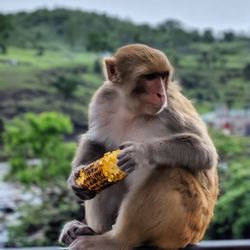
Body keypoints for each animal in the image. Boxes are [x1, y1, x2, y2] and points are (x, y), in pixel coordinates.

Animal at [59, 44, 219, 249]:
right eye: (150, 77)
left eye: (163, 76)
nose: (161, 93)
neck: (133, 110)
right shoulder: (102, 99)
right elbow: (96, 141)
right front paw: (76, 176)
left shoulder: (171, 108)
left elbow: (204, 152)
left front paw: (140, 153)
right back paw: (91, 231)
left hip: (188, 225)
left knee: (170, 171)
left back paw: (115, 240)